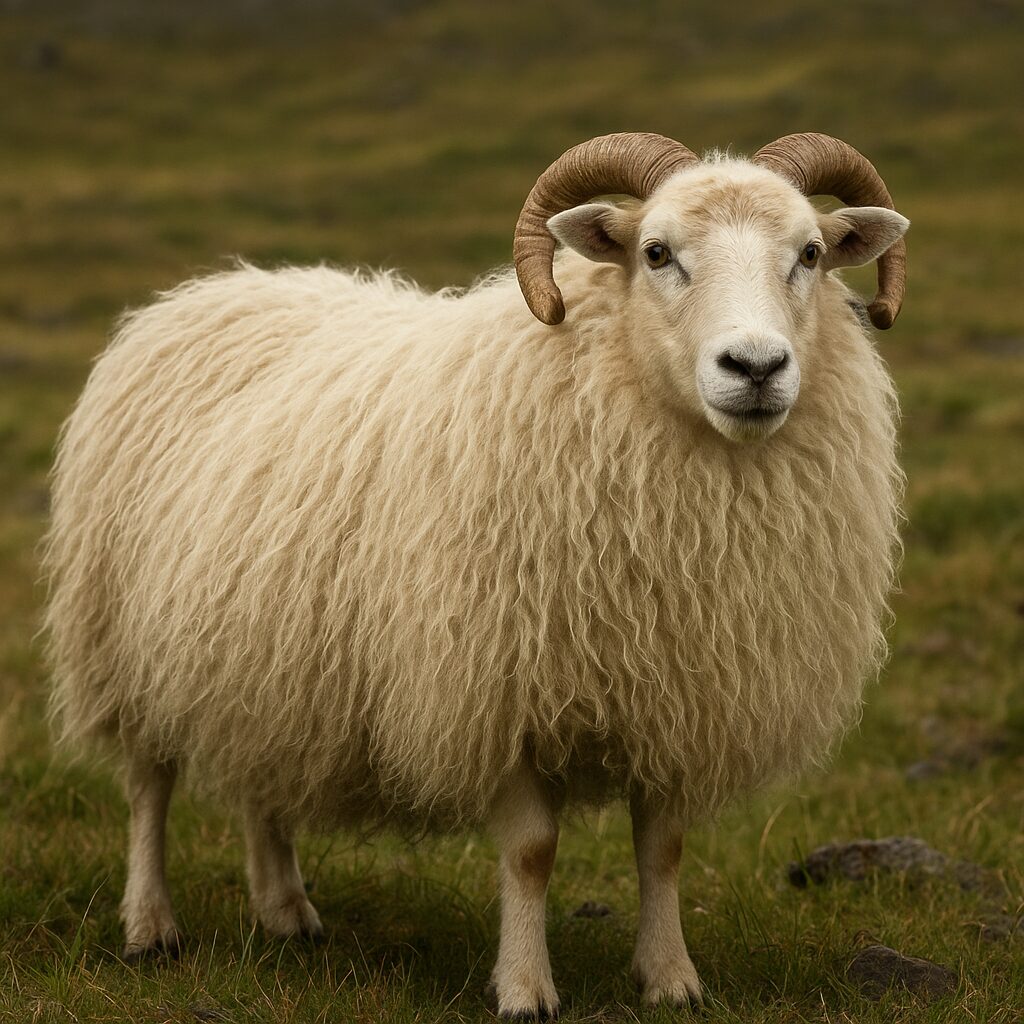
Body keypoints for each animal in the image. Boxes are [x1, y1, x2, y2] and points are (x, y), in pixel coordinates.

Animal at [44, 132, 909, 1017]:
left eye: (810, 253)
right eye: (657, 253)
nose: (757, 367)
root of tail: (215, 285)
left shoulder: (674, 695)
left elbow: (663, 849)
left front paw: (672, 980)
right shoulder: (497, 690)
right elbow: (530, 852)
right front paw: (526, 988)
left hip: (265, 656)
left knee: (265, 775)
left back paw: (285, 912)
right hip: (119, 641)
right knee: (147, 787)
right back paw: (151, 926)